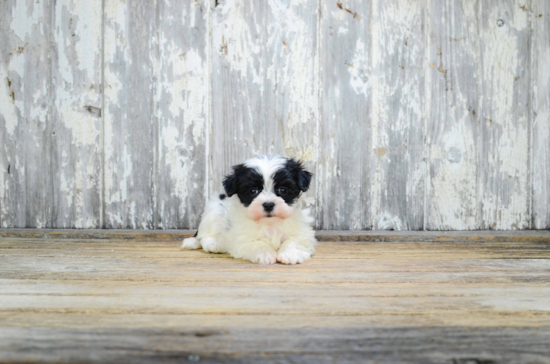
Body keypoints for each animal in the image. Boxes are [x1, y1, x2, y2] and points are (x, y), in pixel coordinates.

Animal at [182, 154, 316, 264]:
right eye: (253, 191)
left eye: (283, 190)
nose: (268, 204)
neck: (269, 223)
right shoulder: (240, 238)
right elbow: (256, 242)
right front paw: (265, 254)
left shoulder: (303, 232)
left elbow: (294, 240)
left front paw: (290, 254)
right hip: (214, 211)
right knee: (204, 236)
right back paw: (214, 244)